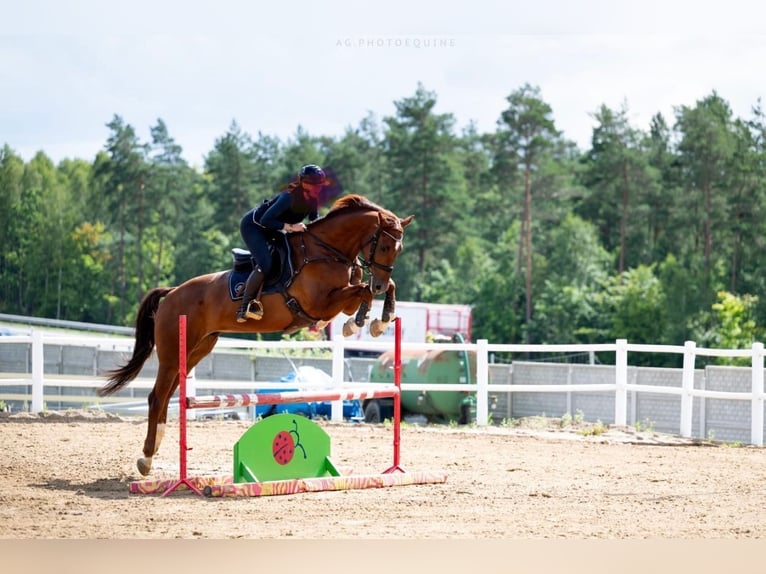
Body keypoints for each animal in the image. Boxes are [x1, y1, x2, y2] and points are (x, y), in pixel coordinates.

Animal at [102, 196, 416, 480]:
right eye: (384, 246)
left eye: (399, 250)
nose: (378, 281)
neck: (328, 251)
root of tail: (172, 293)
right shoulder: (320, 305)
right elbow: (362, 291)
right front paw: (364, 322)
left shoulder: (339, 300)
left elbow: (372, 290)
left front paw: (375, 320)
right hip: (172, 351)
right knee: (157, 396)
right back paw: (146, 458)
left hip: (197, 348)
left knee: (168, 395)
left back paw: (154, 449)